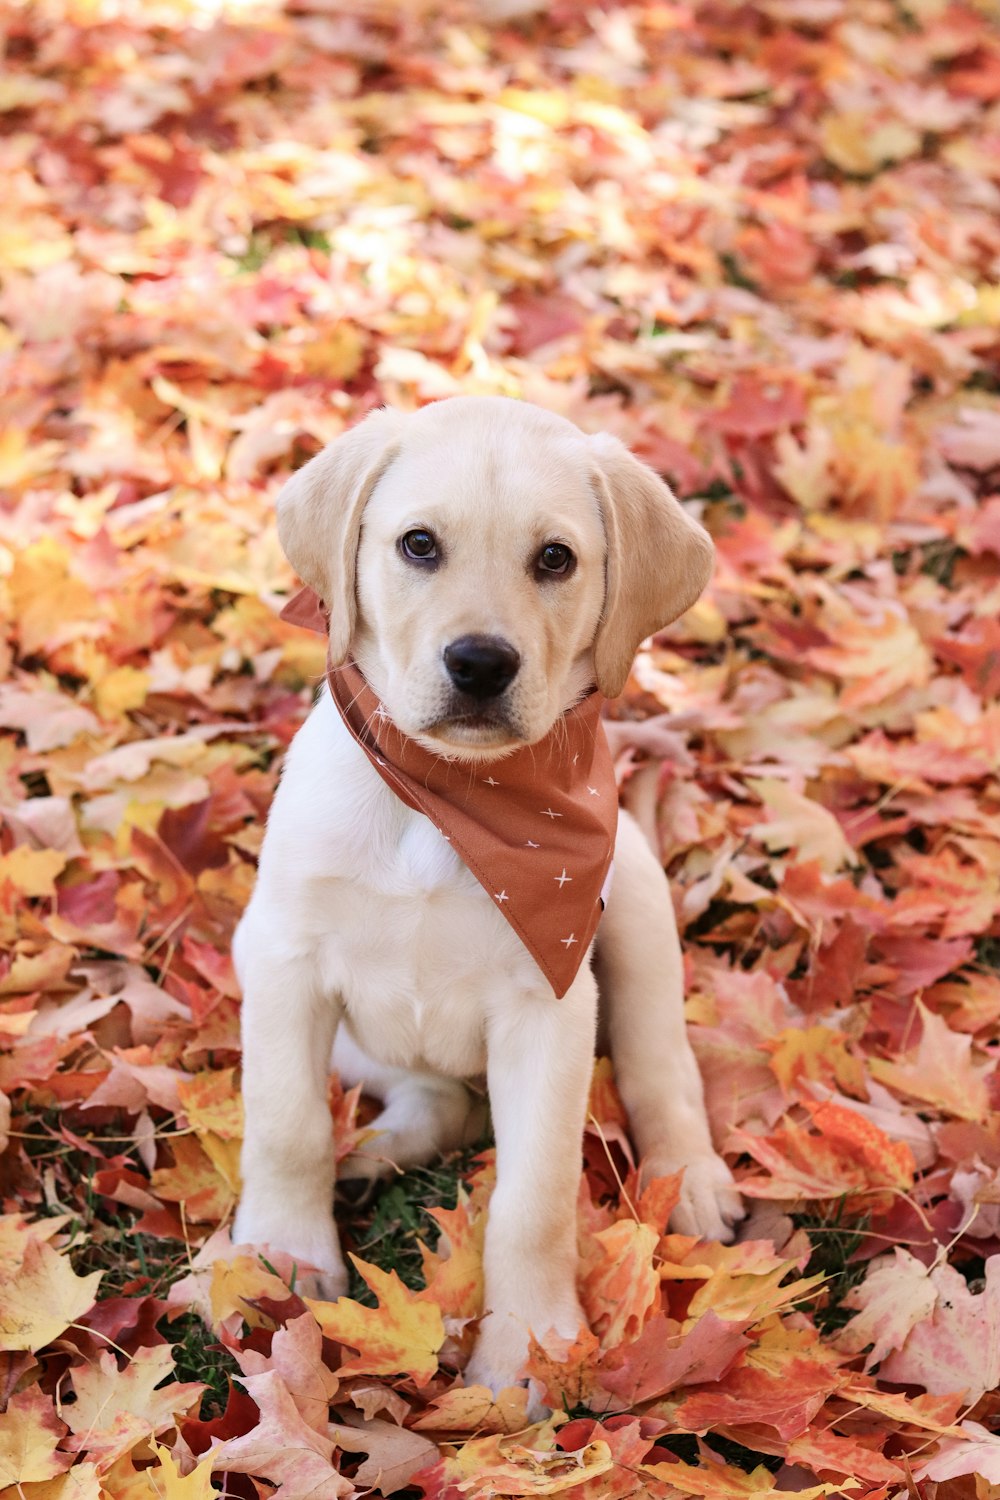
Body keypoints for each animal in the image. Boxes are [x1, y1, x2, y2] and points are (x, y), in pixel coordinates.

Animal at [232, 396, 743, 1392]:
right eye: (418, 545)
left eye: (556, 559)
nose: (478, 663)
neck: (452, 797)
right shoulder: (282, 962)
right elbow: (286, 1124)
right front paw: (281, 1256)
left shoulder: (549, 1008)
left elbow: (533, 1198)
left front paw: (528, 1345)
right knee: (434, 1097)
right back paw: (375, 1152)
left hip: (636, 908)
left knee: (660, 1065)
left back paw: (690, 1175)